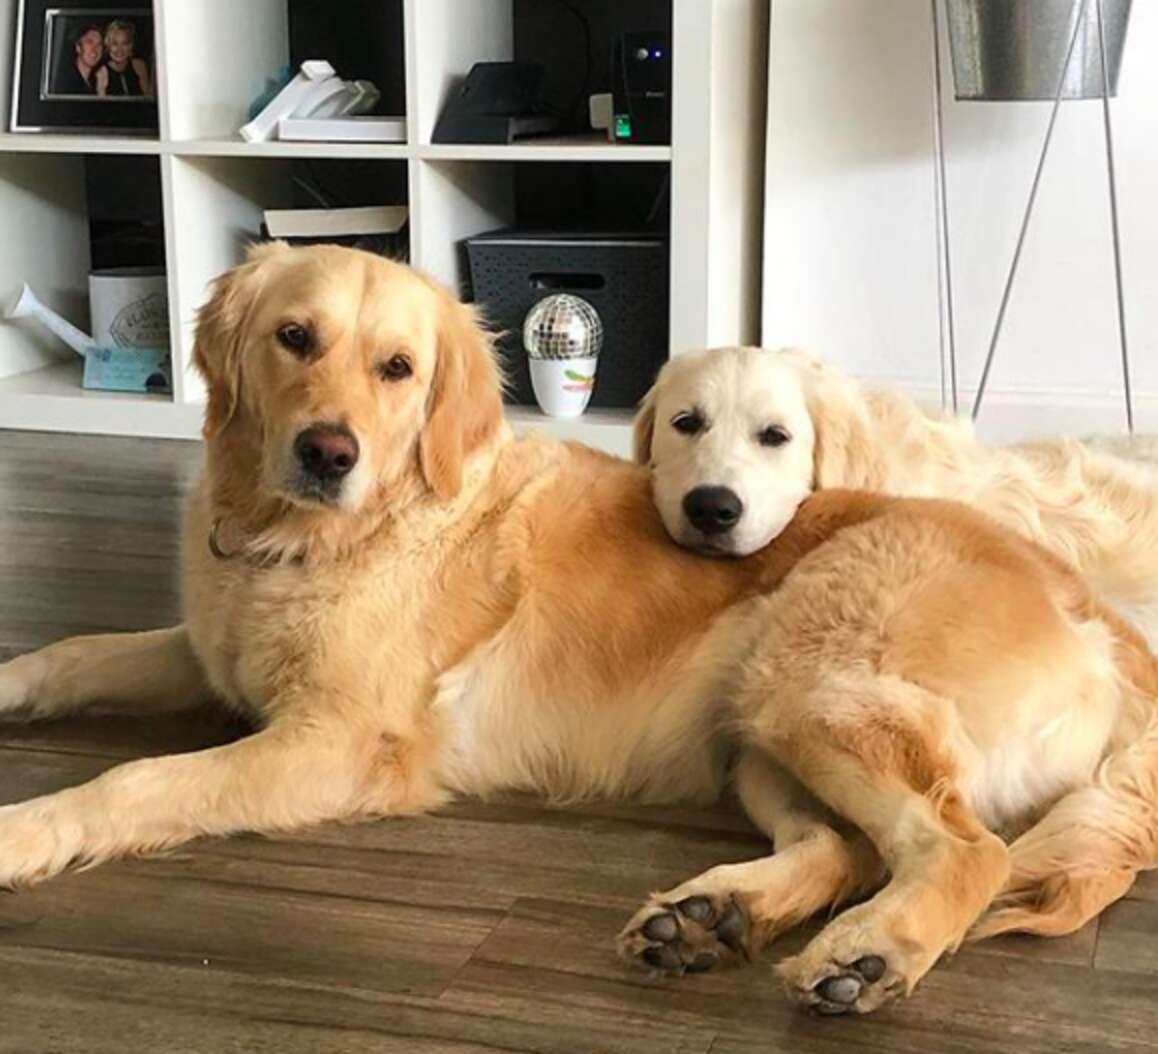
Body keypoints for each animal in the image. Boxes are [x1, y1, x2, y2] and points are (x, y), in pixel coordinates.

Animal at [0, 243, 1153, 1019]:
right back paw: (712, 918)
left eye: (398, 368)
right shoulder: (208, 654)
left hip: (811, 681)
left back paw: (869, 956)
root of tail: (1095, 614)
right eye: (295, 339)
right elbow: (69, 654)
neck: (310, 539)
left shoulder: (342, 743)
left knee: (962, 852)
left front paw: (26, 830)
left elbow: (140, 780)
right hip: (757, 728)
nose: (328, 452)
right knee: (844, 848)